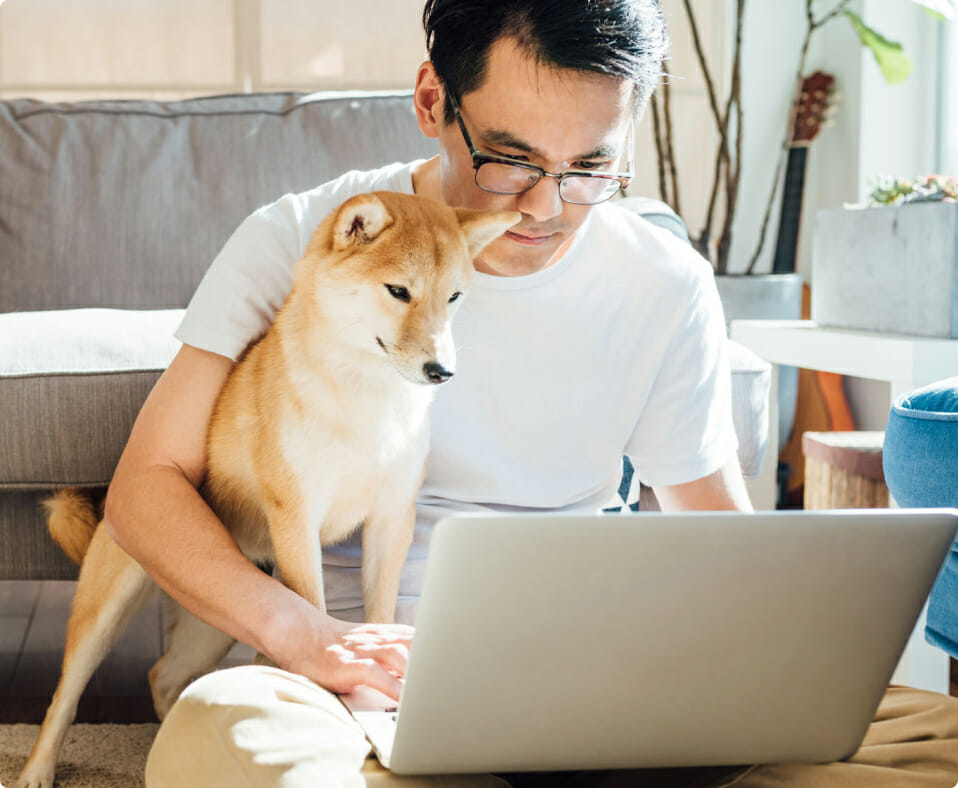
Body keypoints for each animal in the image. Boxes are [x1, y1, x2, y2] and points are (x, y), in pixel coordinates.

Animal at [15, 192, 520, 788]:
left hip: (219, 612)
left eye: (454, 296)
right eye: (399, 291)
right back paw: (38, 769)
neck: (366, 397)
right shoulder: (297, 517)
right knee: (65, 697)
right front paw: (334, 690)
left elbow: (379, 612)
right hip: (111, 605)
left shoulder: (391, 519)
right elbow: (315, 612)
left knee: (165, 675)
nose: (442, 370)